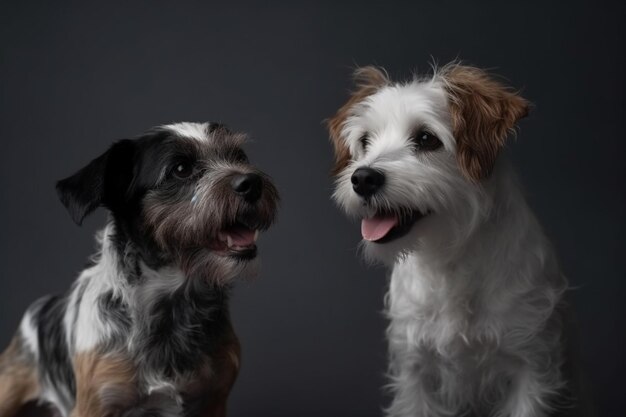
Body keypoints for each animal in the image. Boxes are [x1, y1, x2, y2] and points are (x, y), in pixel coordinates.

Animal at [0, 121, 278, 416]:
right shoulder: (96, 403)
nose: (252, 183)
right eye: (181, 168)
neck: (174, 304)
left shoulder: (214, 399)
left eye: (239, 156)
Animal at [326, 65, 580, 416]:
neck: (448, 258)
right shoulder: (415, 371)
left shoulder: (531, 366)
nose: (362, 178)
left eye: (425, 138)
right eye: (365, 141)